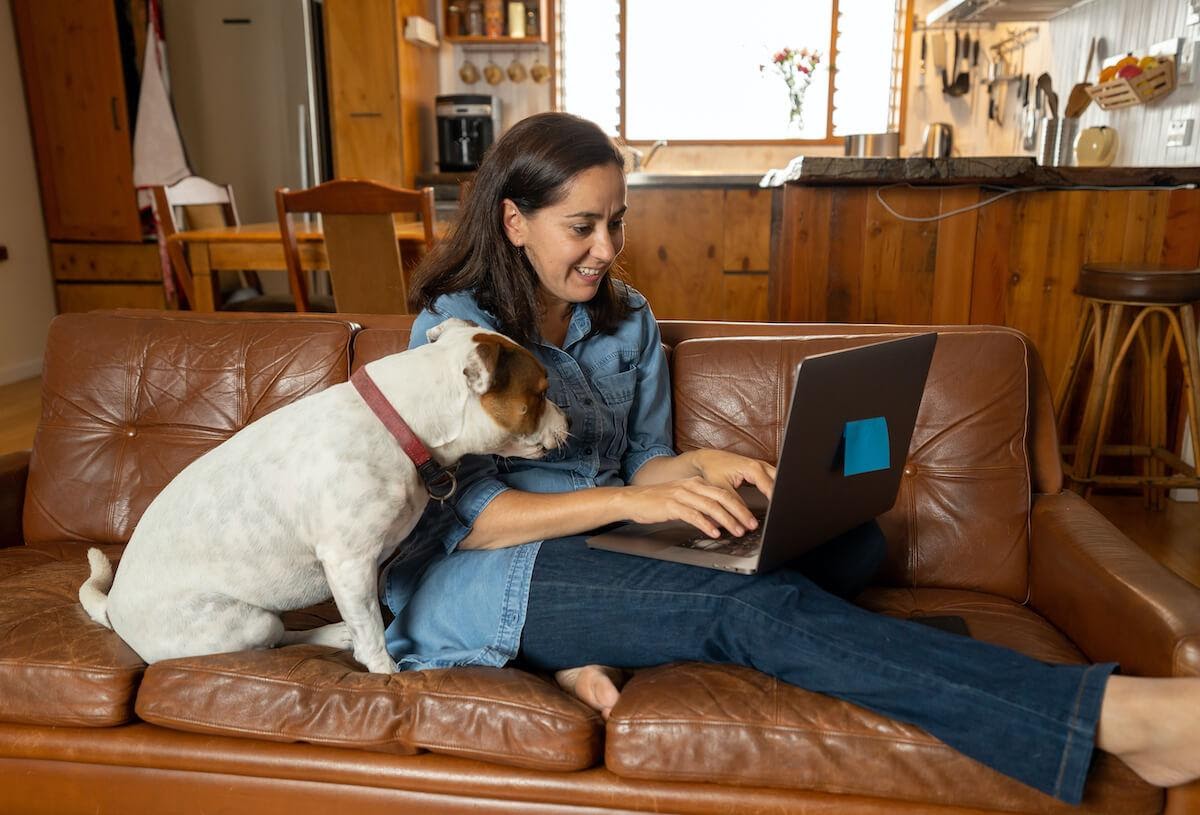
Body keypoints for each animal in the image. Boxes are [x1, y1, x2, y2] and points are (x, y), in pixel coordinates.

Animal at [79, 319, 566, 676]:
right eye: (542, 394)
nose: (571, 420)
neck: (402, 422)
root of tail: (113, 609)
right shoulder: (349, 564)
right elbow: (372, 629)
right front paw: (386, 671)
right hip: (244, 621)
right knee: (273, 637)